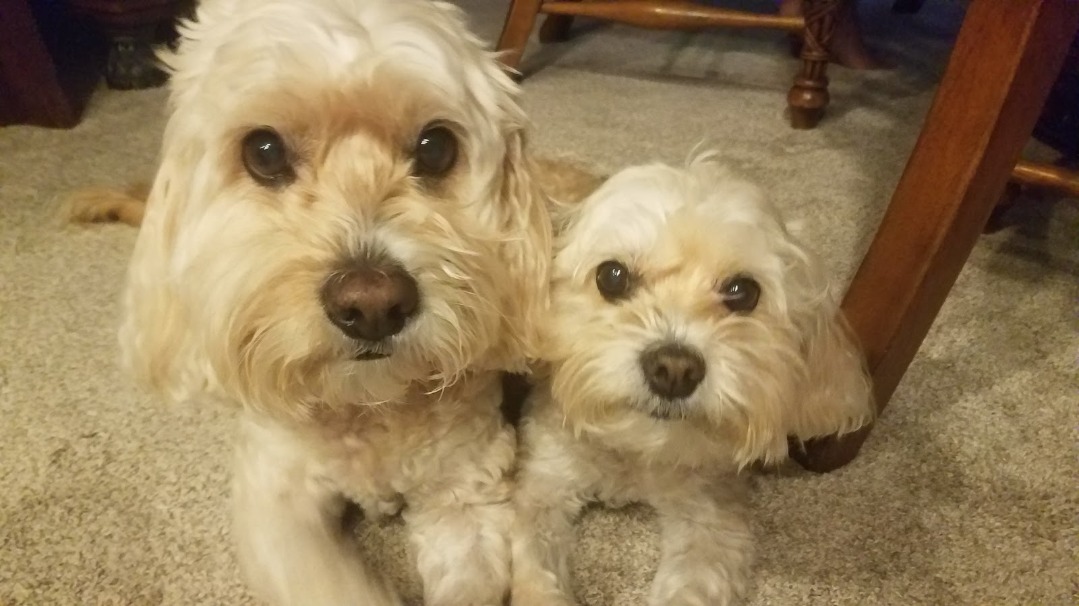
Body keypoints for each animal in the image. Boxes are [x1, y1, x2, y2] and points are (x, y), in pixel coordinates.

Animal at [118, 0, 554, 604]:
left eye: (436, 147)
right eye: (264, 152)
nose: (373, 306)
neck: (367, 407)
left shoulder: (464, 493)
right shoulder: (276, 497)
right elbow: (329, 584)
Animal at [510, 155, 875, 606]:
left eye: (742, 292)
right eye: (612, 276)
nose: (674, 370)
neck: (637, 452)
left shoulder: (712, 516)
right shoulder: (543, 485)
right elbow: (534, 568)